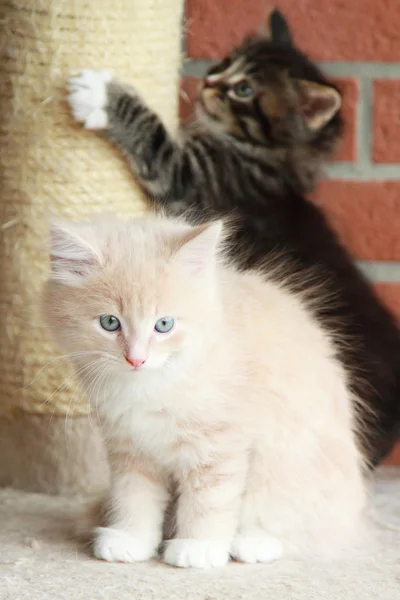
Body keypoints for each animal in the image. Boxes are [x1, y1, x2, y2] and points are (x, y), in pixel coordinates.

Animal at [43, 214, 366, 568]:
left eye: (164, 325)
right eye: (110, 323)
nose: (136, 358)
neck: (150, 387)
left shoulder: (218, 445)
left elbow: (208, 501)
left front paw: (199, 547)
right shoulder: (130, 447)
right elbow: (134, 498)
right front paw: (131, 539)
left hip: (288, 466)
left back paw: (255, 542)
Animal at [67, 11, 400, 466]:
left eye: (244, 89)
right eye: (226, 62)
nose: (208, 81)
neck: (267, 160)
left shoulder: (193, 179)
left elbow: (153, 136)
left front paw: (100, 95)